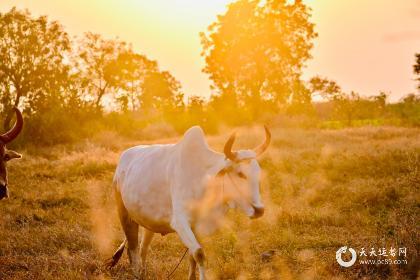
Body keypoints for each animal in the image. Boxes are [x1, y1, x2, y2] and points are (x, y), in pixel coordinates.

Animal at [106, 126, 270, 278]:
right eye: (240, 174)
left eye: (258, 172)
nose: (259, 210)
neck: (203, 179)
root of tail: (122, 160)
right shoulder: (180, 222)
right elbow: (199, 254)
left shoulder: (197, 226)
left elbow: (192, 256)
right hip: (125, 215)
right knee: (132, 248)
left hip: (148, 222)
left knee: (143, 248)